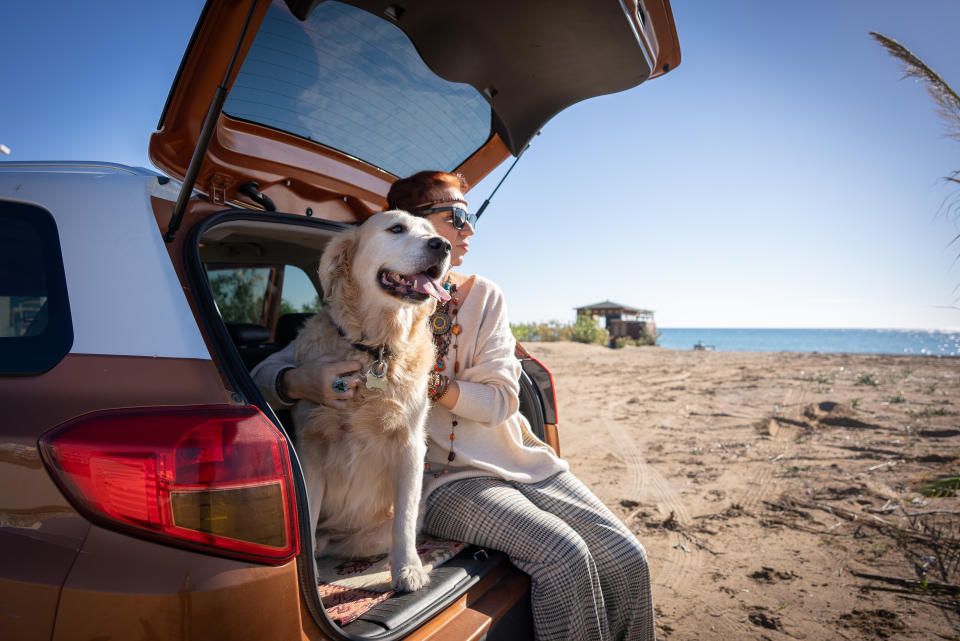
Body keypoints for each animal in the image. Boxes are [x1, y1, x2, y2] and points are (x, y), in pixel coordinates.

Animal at [290, 210, 452, 592]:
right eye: (396, 228)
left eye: (431, 231)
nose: (443, 245)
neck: (376, 350)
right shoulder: (311, 444)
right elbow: (309, 510)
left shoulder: (410, 445)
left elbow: (403, 521)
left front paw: (408, 569)